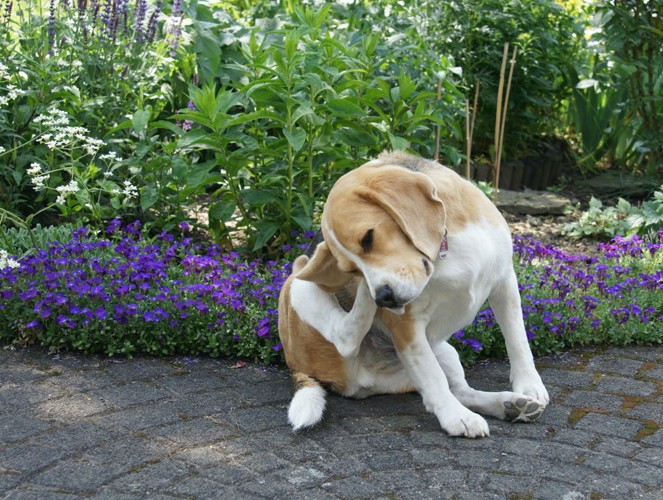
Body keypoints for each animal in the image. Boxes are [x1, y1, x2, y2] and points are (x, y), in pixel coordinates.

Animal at [278, 150, 548, 436]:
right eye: (352, 270)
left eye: (368, 238)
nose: (383, 298)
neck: (444, 249)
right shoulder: (407, 325)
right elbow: (433, 376)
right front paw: (456, 417)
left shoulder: (504, 281)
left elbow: (517, 340)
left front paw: (529, 385)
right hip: (297, 285)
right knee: (345, 338)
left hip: (446, 352)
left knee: (459, 390)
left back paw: (509, 404)